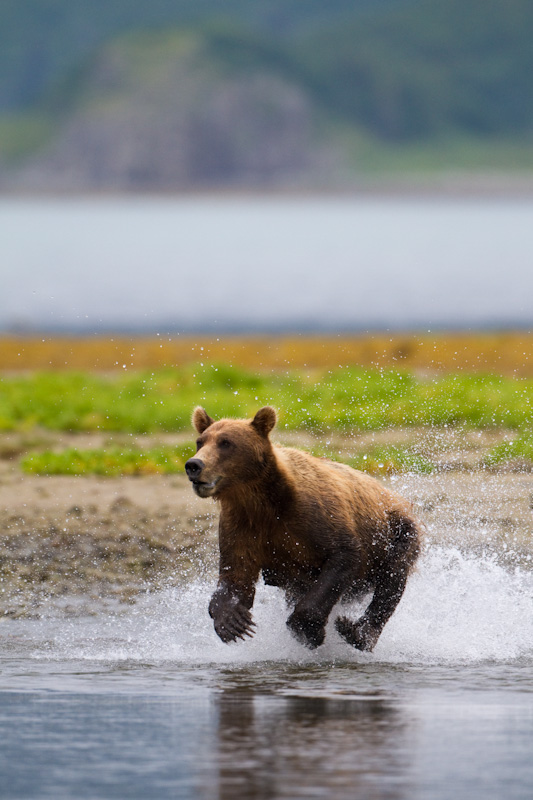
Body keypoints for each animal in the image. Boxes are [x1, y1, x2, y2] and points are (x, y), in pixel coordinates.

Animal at [185, 404, 422, 652]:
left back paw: (357, 632)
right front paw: (233, 622)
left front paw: (309, 631)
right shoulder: (242, 526)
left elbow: (343, 556)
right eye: (200, 441)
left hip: (397, 532)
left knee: (392, 580)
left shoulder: (315, 516)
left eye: (226, 442)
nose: (194, 465)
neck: (263, 502)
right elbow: (235, 575)